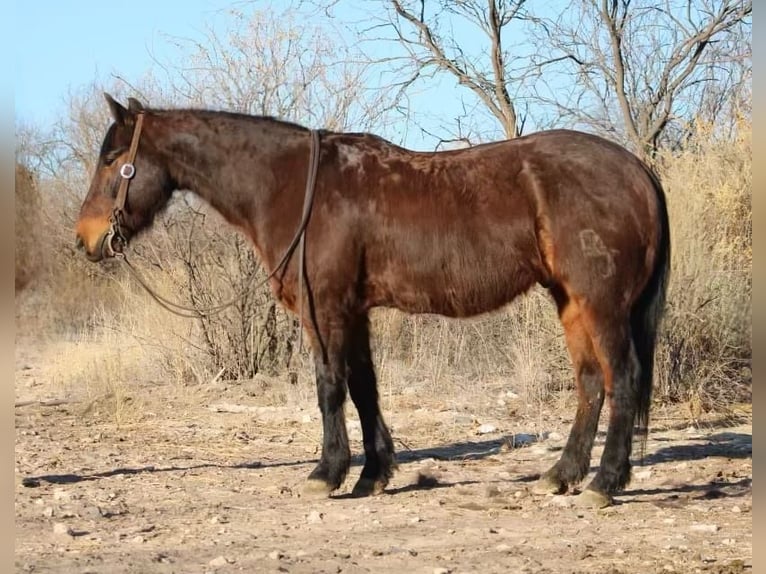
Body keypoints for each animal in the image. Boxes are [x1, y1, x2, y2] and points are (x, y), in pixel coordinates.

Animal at [75, 94, 670, 508]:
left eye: (112, 159)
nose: (85, 240)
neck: (295, 187)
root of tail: (635, 169)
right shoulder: (353, 312)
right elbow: (364, 389)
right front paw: (372, 474)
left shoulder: (326, 310)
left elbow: (329, 388)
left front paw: (326, 474)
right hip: (570, 302)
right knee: (591, 383)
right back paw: (562, 476)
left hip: (601, 305)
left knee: (622, 379)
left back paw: (604, 483)